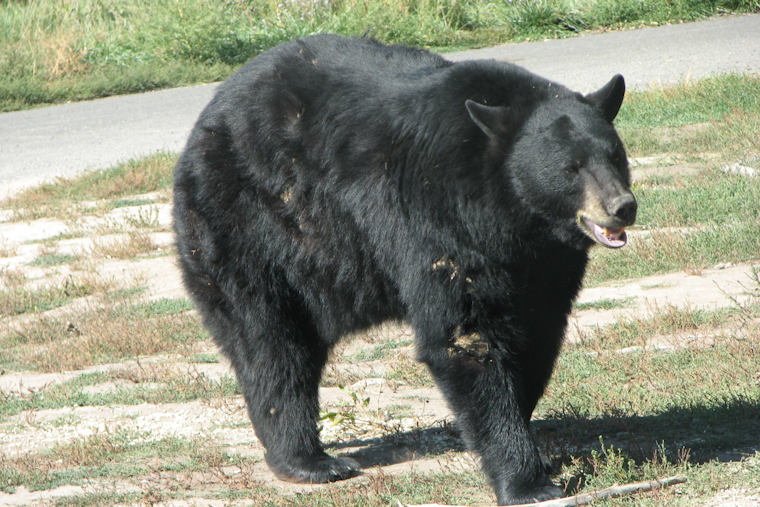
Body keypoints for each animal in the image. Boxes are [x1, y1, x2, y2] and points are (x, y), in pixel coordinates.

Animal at [172, 34, 637, 505]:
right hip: (248, 227)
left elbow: (539, 333)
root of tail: (206, 118)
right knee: (272, 344)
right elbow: (465, 336)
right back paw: (309, 461)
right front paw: (525, 480)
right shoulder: (439, 219)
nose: (622, 206)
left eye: (615, 154)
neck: (512, 215)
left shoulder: (545, 262)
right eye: (570, 168)